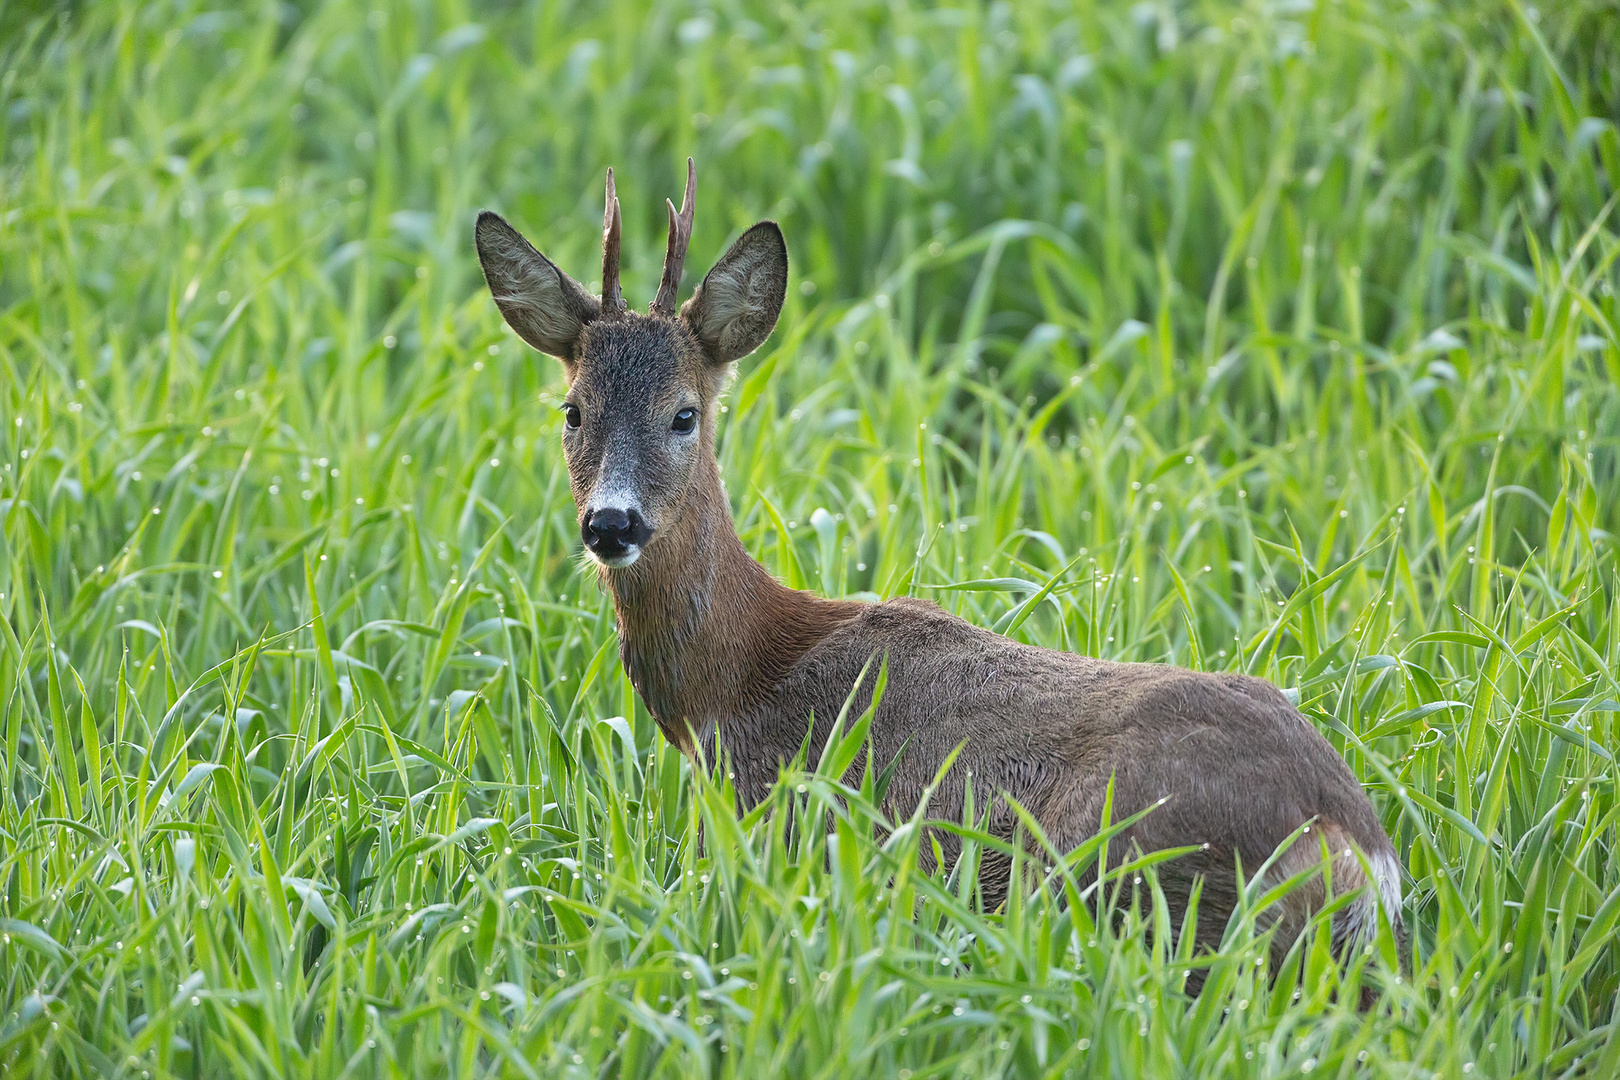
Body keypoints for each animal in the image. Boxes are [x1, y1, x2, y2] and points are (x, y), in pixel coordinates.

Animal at [473, 162, 1406, 990]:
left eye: (684, 414)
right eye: (573, 411)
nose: (612, 524)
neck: (733, 682)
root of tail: (1351, 845)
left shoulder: (767, 820)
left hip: (1122, 876)